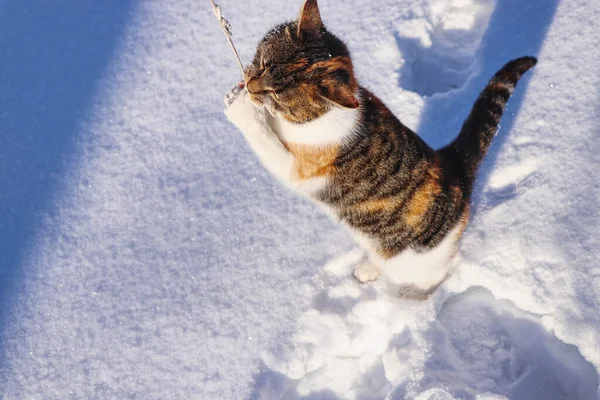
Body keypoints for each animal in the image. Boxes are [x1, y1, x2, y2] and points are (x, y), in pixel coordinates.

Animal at [223, 0, 536, 296]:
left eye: (277, 94)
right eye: (264, 62)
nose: (251, 87)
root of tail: (455, 165)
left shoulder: (298, 167)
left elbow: (265, 141)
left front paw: (240, 109)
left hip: (417, 259)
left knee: (435, 273)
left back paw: (413, 297)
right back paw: (369, 269)